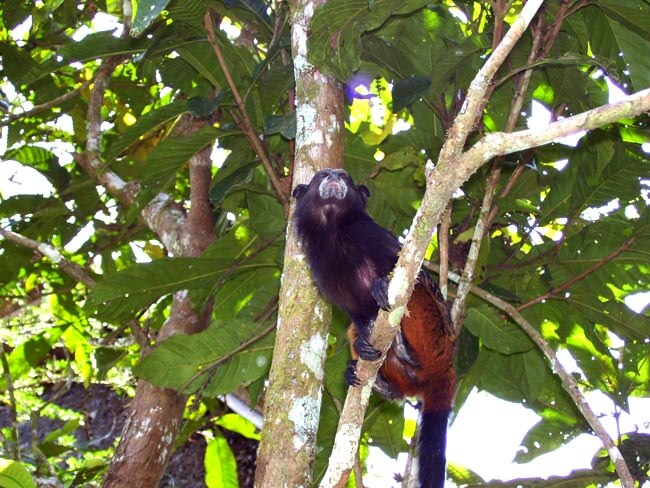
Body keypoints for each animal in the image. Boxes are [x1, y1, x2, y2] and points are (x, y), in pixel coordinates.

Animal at [292, 168, 456, 488]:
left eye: (343, 176)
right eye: (322, 175)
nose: (334, 177)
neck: (335, 229)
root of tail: (447, 367)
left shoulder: (371, 234)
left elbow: (412, 270)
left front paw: (381, 285)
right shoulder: (320, 265)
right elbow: (355, 315)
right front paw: (361, 341)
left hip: (437, 334)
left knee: (414, 289)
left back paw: (404, 346)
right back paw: (382, 380)